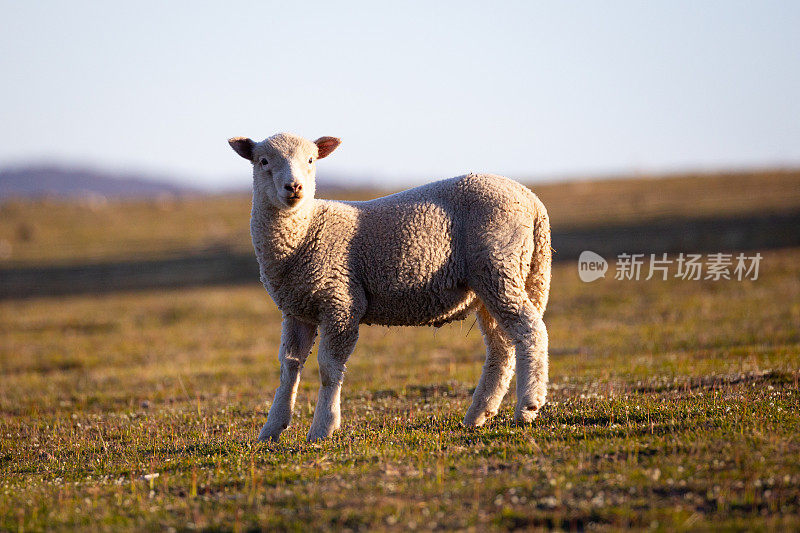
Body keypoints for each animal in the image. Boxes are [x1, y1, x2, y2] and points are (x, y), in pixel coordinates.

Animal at [225, 132, 552, 440]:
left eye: (311, 160)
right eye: (263, 161)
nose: (294, 187)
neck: (305, 231)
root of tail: (533, 201)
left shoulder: (341, 301)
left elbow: (329, 368)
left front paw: (323, 428)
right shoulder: (296, 310)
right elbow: (289, 368)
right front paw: (271, 429)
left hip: (498, 265)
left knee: (529, 329)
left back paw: (528, 406)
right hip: (498, 281)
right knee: (501, 347)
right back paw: (479, 414)